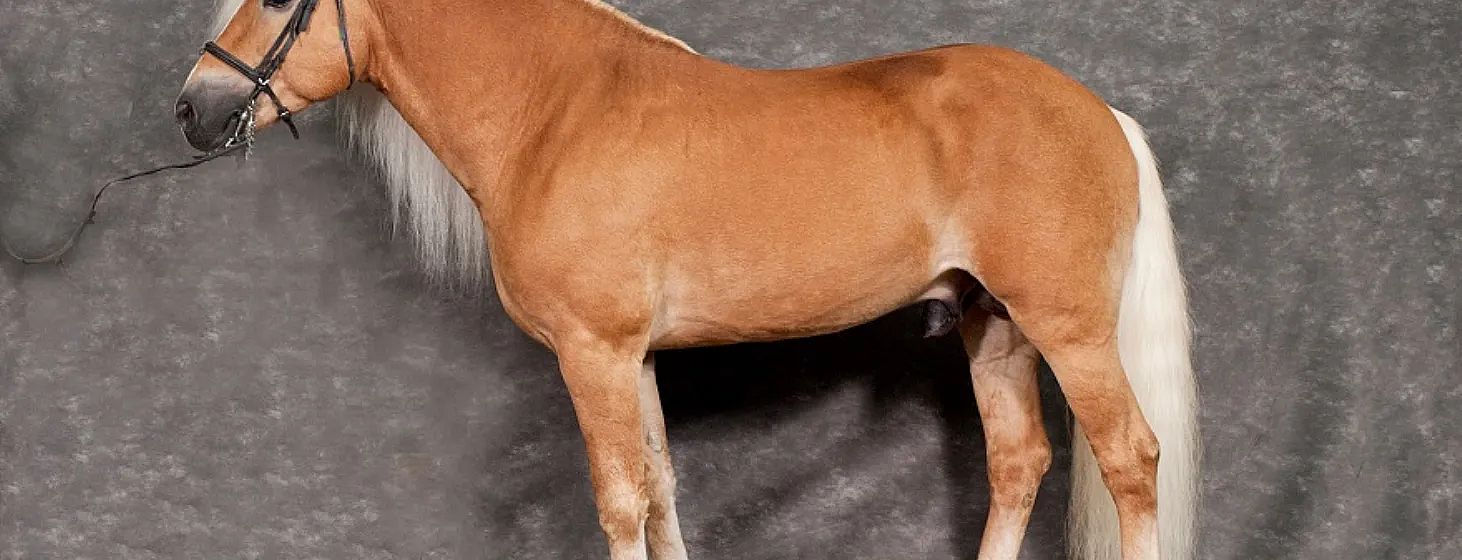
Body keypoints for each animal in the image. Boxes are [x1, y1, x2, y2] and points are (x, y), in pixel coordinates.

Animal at [177, 1, 1199, 558]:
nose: (196, 107)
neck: (557, 114)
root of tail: (1099, 112)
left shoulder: (593, 354)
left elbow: (620, 500)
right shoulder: (632, 358)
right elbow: (662, 485)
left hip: (1068, 332)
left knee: (1129, 461)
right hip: (995, 328)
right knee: (1019, 464)